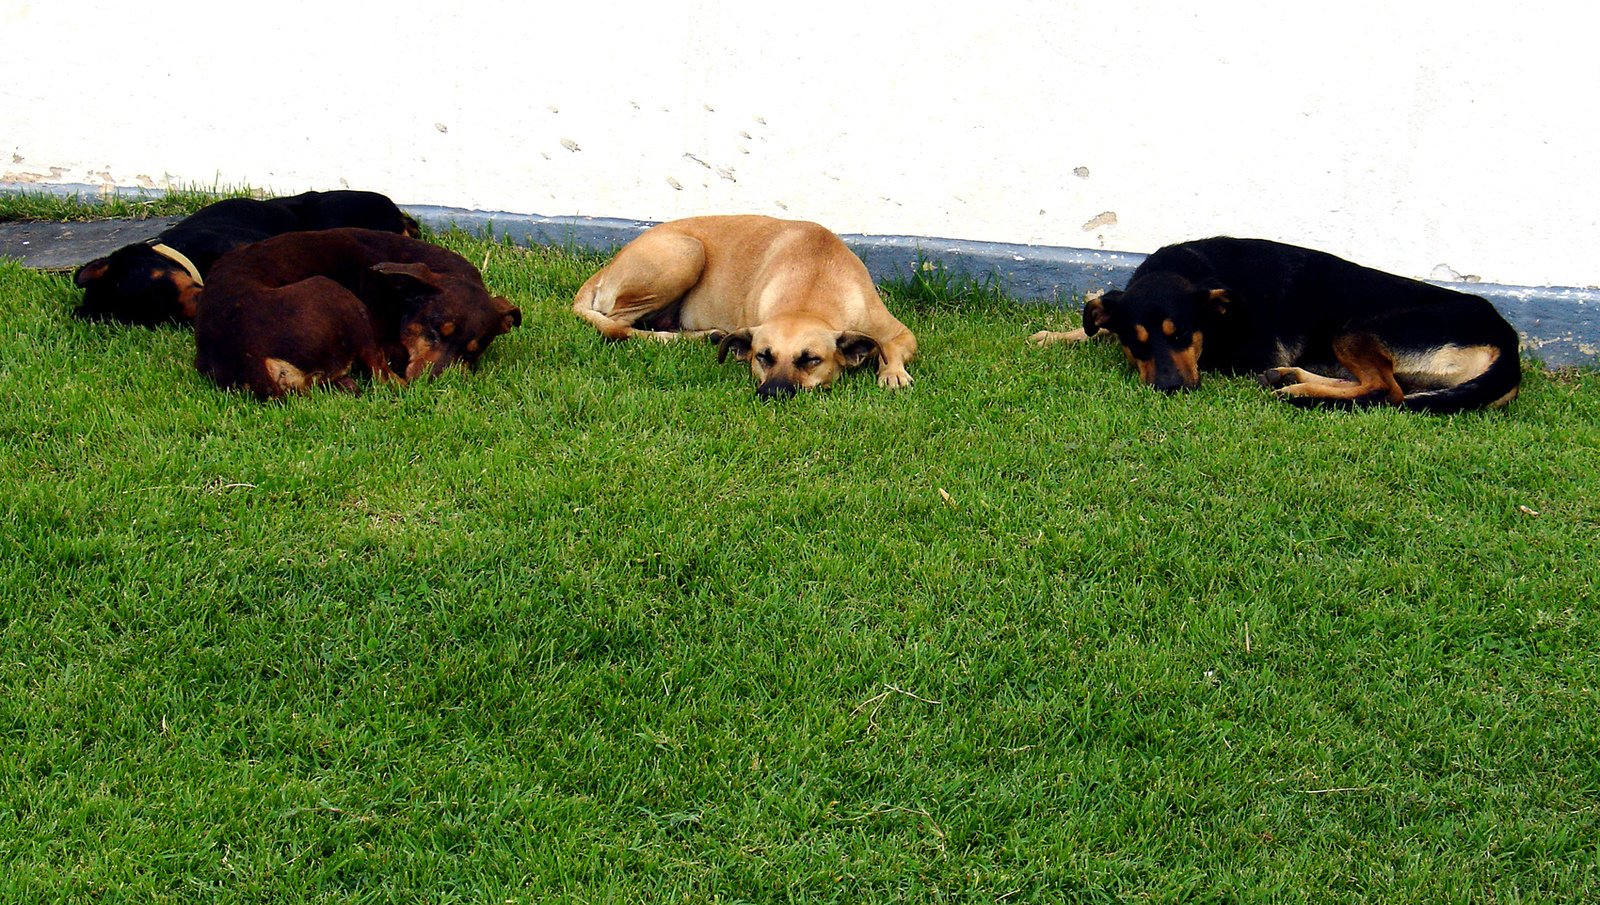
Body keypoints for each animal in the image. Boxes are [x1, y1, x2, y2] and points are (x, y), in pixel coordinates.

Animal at [192, 227, 518, 401]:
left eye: (472, 352)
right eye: (434, 330)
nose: (433, 384)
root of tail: (249, 355)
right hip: (336, 294)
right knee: (382, 375)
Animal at [572, 214, 921, 399]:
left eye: (811, 360)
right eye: (763, 357)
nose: (770, 393)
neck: (813, 283)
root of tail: (607, 268)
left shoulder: (900, 333)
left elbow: (891, 347)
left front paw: (892, 372)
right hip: (686, 252)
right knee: (618, 324)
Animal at [1030, 238, 1516, 415]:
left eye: (1182, 335)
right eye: (1138, 343)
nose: (1171, 390)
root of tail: (1506, 337)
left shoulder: (1246, 353)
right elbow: (1098, 321)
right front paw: (1055, 336)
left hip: (1356, 326)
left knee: (1384, 390)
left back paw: (1301, 393)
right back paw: (1292, 380)